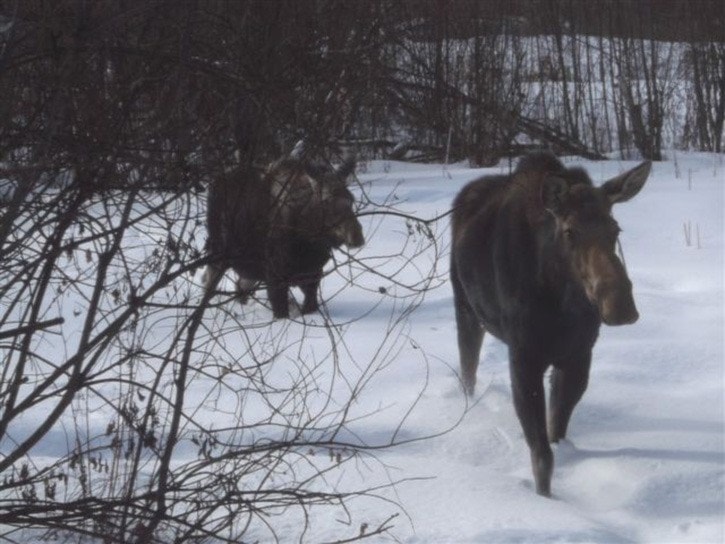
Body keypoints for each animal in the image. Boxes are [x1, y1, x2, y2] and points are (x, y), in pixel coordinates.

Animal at [202, 154, 362, 318]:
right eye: (326, 200)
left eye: (351, 199)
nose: (356, 236)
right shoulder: (275, 274)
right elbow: (280, 311)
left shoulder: (313, 273)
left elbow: (310, 306)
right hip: (218, 249)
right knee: (208, 282)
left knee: (240, 285)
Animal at [452, 152, 652, 498]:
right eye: (570, 231)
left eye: (615, 229)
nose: (620, 306)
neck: (562, 306)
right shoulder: (524, 357)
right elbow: (542, 458)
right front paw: (545, 501)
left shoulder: (577, 355)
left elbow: (556, 430)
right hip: (465, 309)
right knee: (468, 370)